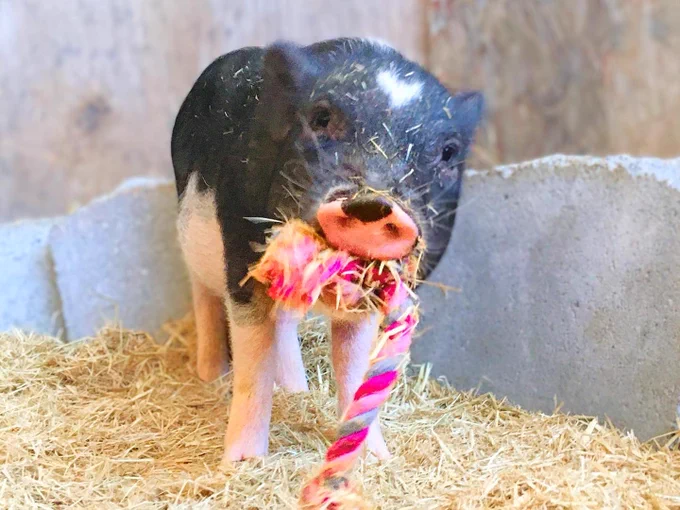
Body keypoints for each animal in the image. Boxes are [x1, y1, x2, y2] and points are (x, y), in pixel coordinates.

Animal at [171, 38, 484, 465]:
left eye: (448, 151)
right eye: (320, 118)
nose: (372, 203)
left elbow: (352, 367)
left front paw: (376, 458)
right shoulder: (241, 254)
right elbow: (254, 361)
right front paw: (243, 464)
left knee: (284, 325)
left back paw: (296, 391)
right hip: (192, 242)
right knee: (204, 300)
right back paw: (210, 378)